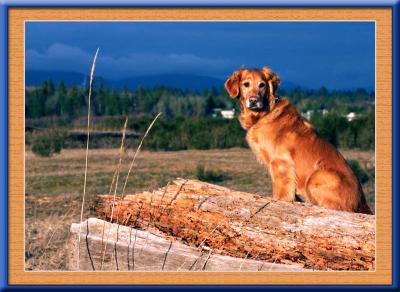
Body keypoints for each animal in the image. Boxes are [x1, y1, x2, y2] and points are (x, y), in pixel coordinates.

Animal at [225, 66, 372, 214]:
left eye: (262, 85)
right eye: (246, 84)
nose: (254, 100)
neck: (264, 113)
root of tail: (363, 203)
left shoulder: (281, 163)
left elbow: (280, 193)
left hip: (316, 177)